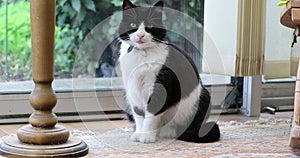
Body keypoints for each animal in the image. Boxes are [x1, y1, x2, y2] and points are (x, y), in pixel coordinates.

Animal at [117, 0, 220, 143]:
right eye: (133, 25)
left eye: (150, 25)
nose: (141, 35)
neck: (141, 55)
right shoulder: (132, 88)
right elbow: (138, 114)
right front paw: (138, 134)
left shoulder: (160, 84)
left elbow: (151, 113)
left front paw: (147, 136)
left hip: (204, 97)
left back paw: (168, 132)